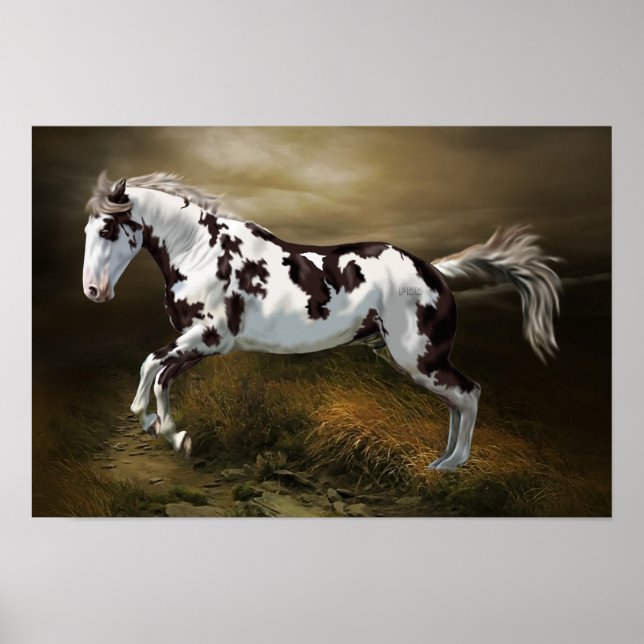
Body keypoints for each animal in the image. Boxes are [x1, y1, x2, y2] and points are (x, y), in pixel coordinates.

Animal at [82, 172, 561, 471]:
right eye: (87, 230)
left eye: (108, 230)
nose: (93, 292)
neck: (201, 251)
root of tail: (436, 271)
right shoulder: (198, 344)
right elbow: (161, 376)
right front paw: (171, 433)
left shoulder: (208, 337)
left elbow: (149, 365)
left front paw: (151, 421)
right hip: (409, 361)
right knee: (455, 401)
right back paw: (440, 460)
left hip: (419, 359)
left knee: (469, 393)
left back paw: (451, 466)